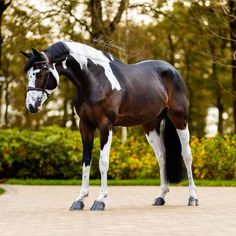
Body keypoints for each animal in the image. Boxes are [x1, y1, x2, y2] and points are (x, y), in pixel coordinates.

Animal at [20, 40, 199, 210]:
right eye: (28, 74)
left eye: (40, 72)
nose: (31, 106)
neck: (94, 80)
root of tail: (172, 70)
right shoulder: (85, 125)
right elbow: (86, 161)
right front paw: (80, 199)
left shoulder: (106, 125)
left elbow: (103, 162)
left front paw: (100, 200)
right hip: (150, 125)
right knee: (161, 156)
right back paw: (160, 196)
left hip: (180, 119)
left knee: (187, 155)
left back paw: (193, 197)